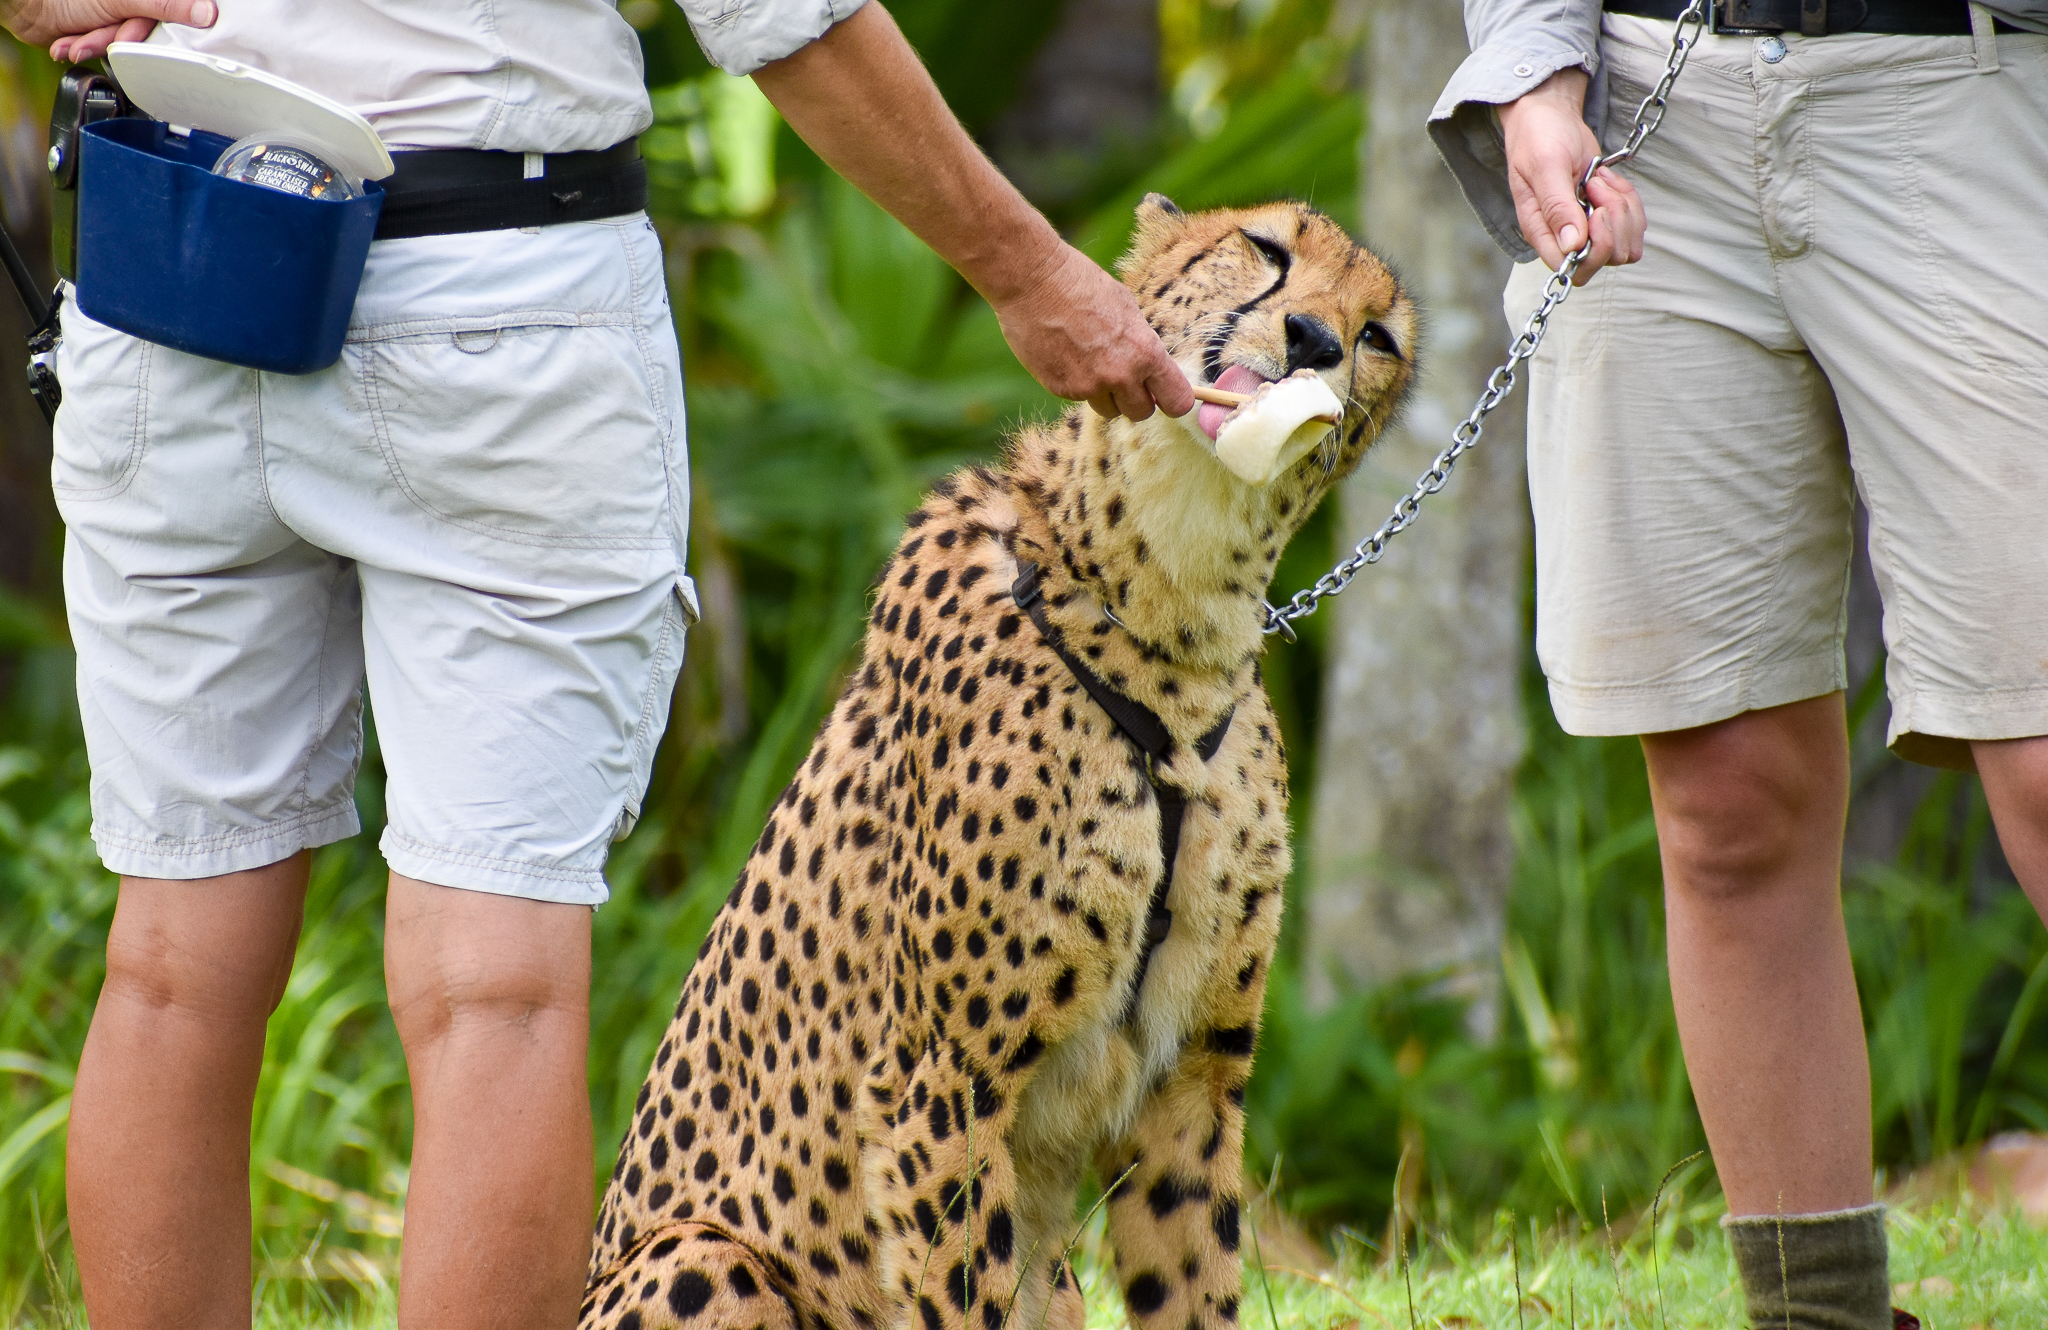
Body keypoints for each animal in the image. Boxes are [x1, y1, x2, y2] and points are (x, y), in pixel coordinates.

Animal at [580, 194, 1417, 1330]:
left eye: (1378, 338)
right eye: (1266, 249)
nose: (1315, 340)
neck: (1173, 621)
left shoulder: (1196, 1075)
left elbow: (1193, 1281)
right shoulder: (940, 1080)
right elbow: (961, 1289)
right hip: (702, 1254)